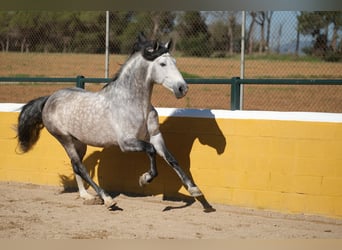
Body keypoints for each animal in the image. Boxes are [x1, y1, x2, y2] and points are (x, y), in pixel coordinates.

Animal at [16, 32, 203, 209]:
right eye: (162, 64)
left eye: (175, 61)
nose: (182, 88)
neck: (134, 103)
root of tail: (49, 99)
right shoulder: (126, 143)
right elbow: (150, 150)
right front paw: (144, 179)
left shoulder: (155, 136)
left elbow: (171, 158)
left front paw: (195, 190)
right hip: (65, 139)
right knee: (80, 167)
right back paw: (107, 199)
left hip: (79, 142)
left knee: (76, 166)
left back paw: (87, 196)